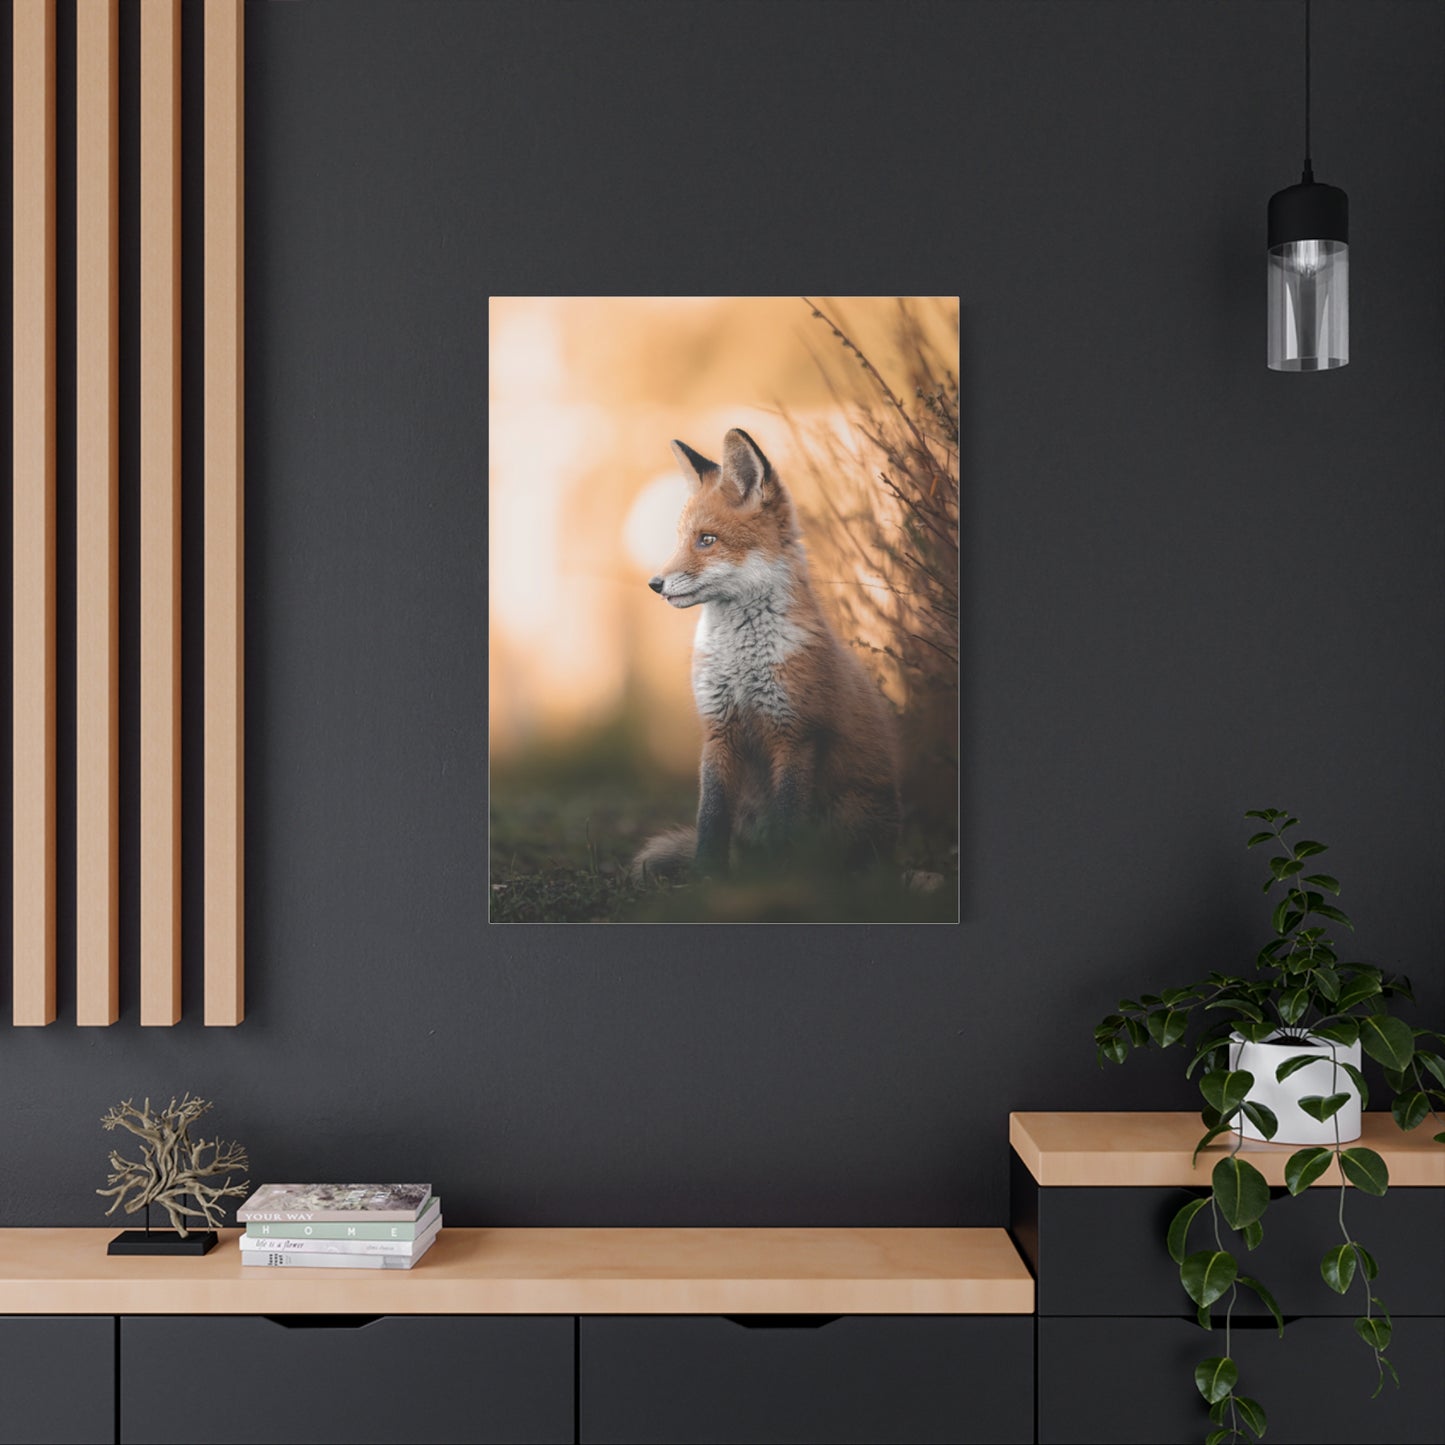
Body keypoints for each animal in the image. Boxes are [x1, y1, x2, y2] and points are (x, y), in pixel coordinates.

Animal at [633, 427, 901, 881]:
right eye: (682, 539)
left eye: (707, 540)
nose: (655, 584)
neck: (741, 662)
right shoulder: (718, 730)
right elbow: (710, 817)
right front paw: (706, 877)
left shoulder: (794, 732)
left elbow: (787, 820)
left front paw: (782, 876)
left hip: (850, 813)